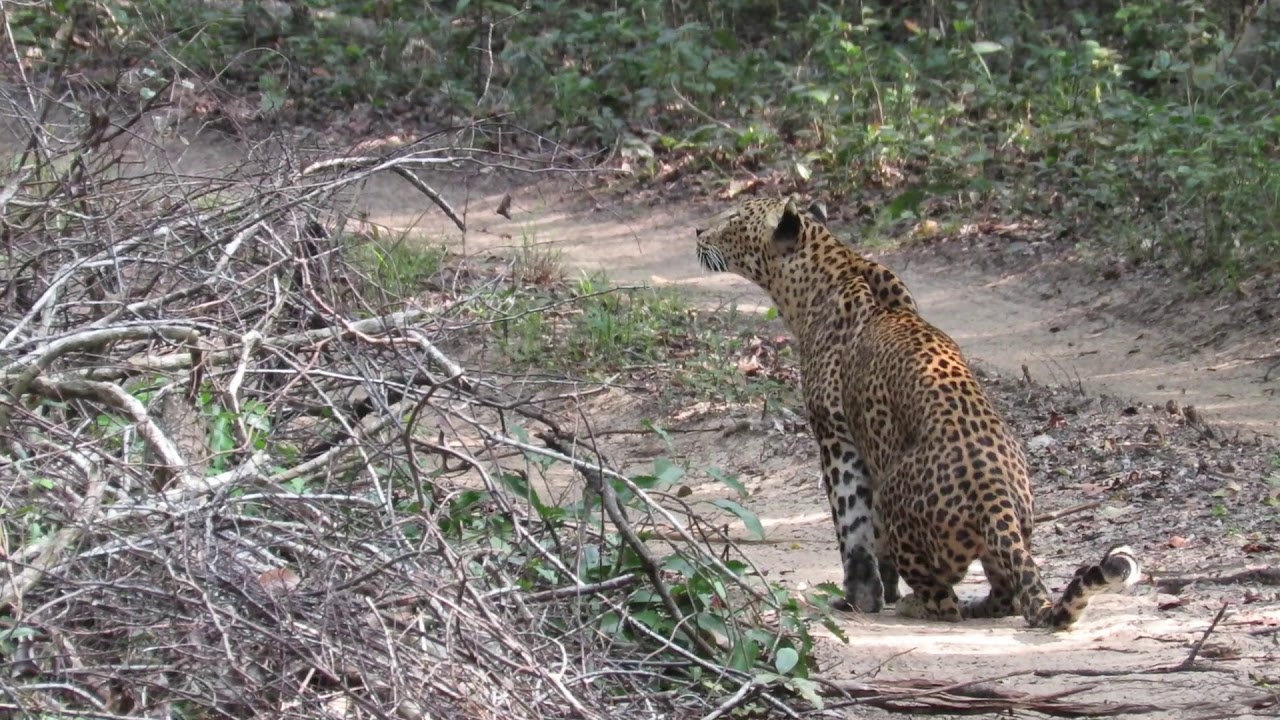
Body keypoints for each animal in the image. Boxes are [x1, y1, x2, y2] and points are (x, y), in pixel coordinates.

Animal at [694, 196, 1140, 629]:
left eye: (733, 217)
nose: (698, 230)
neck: (822, 273)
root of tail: (993, 495)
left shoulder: (836, 437)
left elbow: (852, 527)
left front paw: (860, 598)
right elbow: (871, 533)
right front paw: (883, 590)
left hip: (900, 498)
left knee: (947, 602)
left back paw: (919, 605)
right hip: (1013, 528)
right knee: (1009, 596)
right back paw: (973, 603)